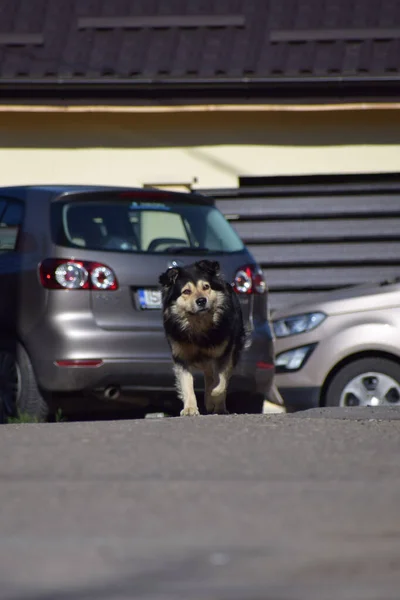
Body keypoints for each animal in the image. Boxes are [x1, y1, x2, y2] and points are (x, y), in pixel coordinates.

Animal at [159, 260, 245, 414]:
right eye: (186, 291)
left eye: (206, 287)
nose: (201, 301)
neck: (199, 325)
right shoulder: (181, 357)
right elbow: (187, 384)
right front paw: (190, 408)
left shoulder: (224, 353)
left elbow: (221, 381)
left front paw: (214, 394)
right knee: (209, 375)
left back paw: (218, 406)